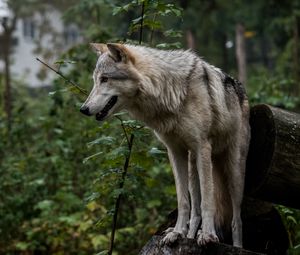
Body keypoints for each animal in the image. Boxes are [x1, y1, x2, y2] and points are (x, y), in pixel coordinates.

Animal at [80, 42, 251, 248]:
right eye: (95, 80)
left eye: (105, 79)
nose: (83, 109)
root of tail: (242, 90)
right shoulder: (175, 152)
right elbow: (183, 202)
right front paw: (177, 232)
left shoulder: (202, 146)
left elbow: (208, 201)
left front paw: (208, 236)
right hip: (193, 165)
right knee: (195, 212)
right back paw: (188, 236)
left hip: (233, 173)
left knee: (236, 219)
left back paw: (235, 245)